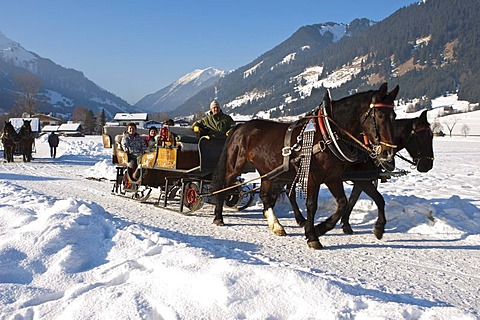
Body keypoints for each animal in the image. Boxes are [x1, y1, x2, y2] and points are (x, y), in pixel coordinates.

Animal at [212, 82, 400, 250]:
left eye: (394, 116)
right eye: (380, 115)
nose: (387, 153)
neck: (328, 135)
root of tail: (239, 127)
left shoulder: (334, 177)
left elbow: (345, 203)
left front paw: (321, 228)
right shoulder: (313, 177)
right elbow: (311, 205)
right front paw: (313, 235)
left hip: (268, 172)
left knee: (265, 196)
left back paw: (276, 225)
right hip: (235, 167)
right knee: (224, 187)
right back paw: (218, 217)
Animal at [288, 109, 436, 239]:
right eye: (422, 136)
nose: (428, 165)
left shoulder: (362, 179)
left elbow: (352, 201)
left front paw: (345, 224)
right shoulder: (362, 180)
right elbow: (378, 199)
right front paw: (378, 228)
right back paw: (300, 220)